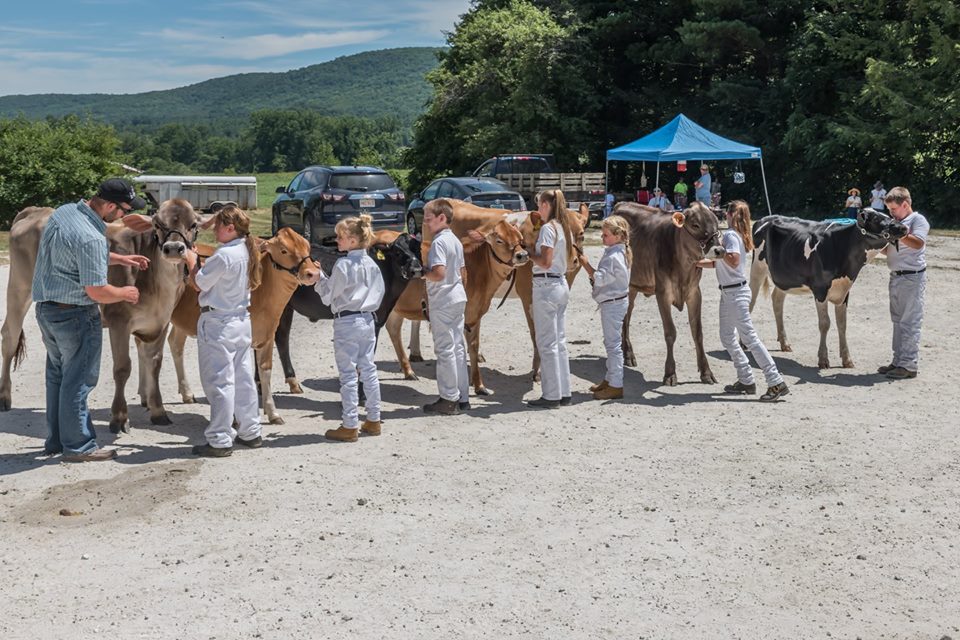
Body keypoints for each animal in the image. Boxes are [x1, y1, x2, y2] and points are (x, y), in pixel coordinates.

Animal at [165, 228, 316, 428]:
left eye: (307, 247)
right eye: (284, 250)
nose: (312, 272)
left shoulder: (267, 335)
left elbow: (265, 371)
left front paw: (273, 413)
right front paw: (235, 419)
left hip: (183, 320)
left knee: (175, 343)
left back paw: (187, 393)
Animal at [270, 229, 420, 390]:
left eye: (417, 248)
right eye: (398, 251)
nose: (416, 269)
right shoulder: (374, 320)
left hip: (286, 307)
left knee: (281, 337)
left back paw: (292, 382)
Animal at [384, 200, 532, 396]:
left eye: (519, 237)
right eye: (499, 240)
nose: (522, 255)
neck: (477, 270)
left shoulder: (475, 314)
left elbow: (474, 346)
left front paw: (479, 385)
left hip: (396, 306)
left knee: (393, 329)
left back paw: (408, 371)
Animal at [620, 201, 724, 384]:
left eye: (716, 223)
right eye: (695, 225)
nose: (719, 250)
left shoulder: (694, 293)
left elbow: (698, 333)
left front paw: (706, 372)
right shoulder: (662, 293)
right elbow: (670, 332)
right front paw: (670, 373)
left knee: (627, 315)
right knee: (625, 317)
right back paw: (628, 355)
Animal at [752, 210, 908, 368]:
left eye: (888, 215)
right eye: (876, 218)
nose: (903, 227)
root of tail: (765, 218)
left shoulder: (844, 291)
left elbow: (842, 324)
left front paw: (847, 359)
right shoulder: (820, 290)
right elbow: (825, 323)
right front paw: (823, 359)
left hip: (784, 279)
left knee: (777, 301)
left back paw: (784, 343)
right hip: (758, 267)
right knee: (751, 300)